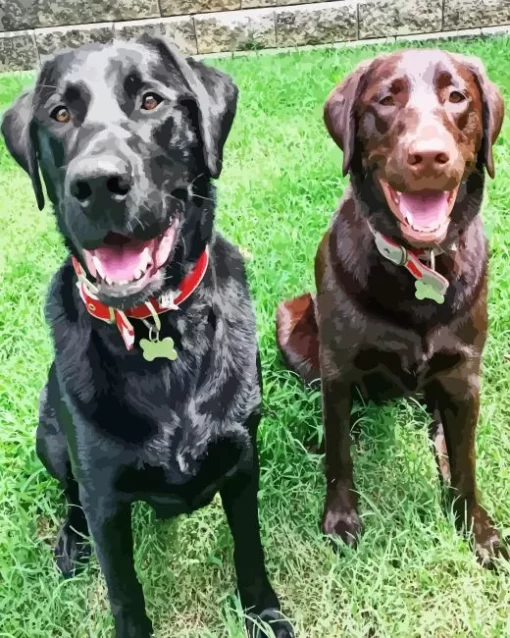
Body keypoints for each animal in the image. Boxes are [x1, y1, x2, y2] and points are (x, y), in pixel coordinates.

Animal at [1, 36, 294, 638]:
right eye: (58, 114)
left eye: (151, 101)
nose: (97, 183)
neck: (155, 328)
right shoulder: (105, 496)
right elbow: (124, 591)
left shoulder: (242, 457)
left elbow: (250, 551)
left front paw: (264, 613)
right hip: (50, 435)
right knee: (69, 496)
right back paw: (70, 541)